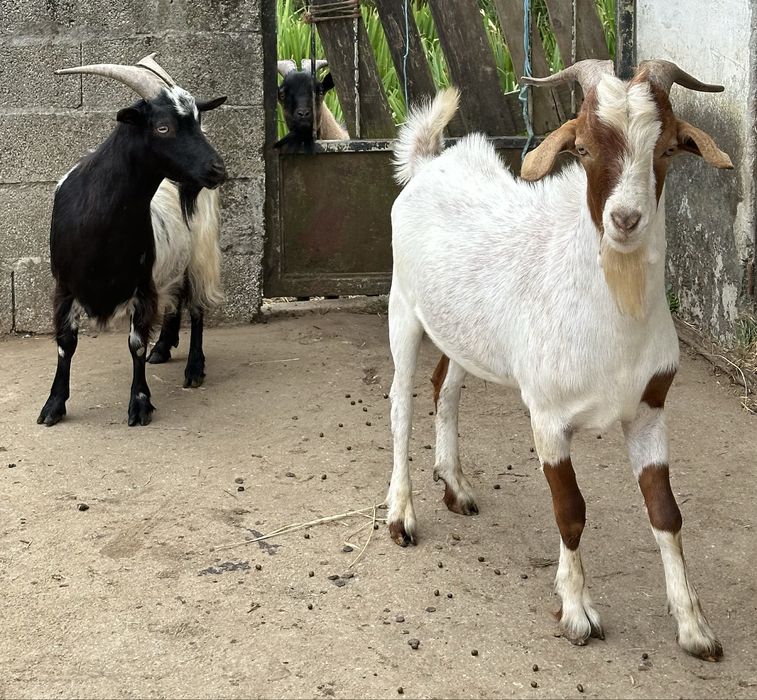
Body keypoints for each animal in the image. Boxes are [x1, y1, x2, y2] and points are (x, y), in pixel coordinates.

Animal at [37, 54, 227, 427]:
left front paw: (139, 403)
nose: (217, 170)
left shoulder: (142, 286)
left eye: (198, 122)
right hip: (171, 262)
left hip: (200, 250)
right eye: (163, 127)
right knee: (175, 298)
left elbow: (135, 343)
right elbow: (65, 343)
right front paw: (53, 405)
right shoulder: (64, 286)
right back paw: (163, 348)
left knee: (196, 306)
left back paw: (194, 368)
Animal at [385, 59, 733, 660]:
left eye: (666, 148)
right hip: (403, 305)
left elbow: (666, 513)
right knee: (401, 402)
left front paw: (693, 626)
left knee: (444, 385)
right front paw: (576, 612)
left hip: (461, 332)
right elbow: (571, 511)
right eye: (585, 149)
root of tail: (428, 165)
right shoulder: (548, 418)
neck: (616, 317)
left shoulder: (649, 411)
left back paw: (456, 485)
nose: (625, 219)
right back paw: (401, 516)